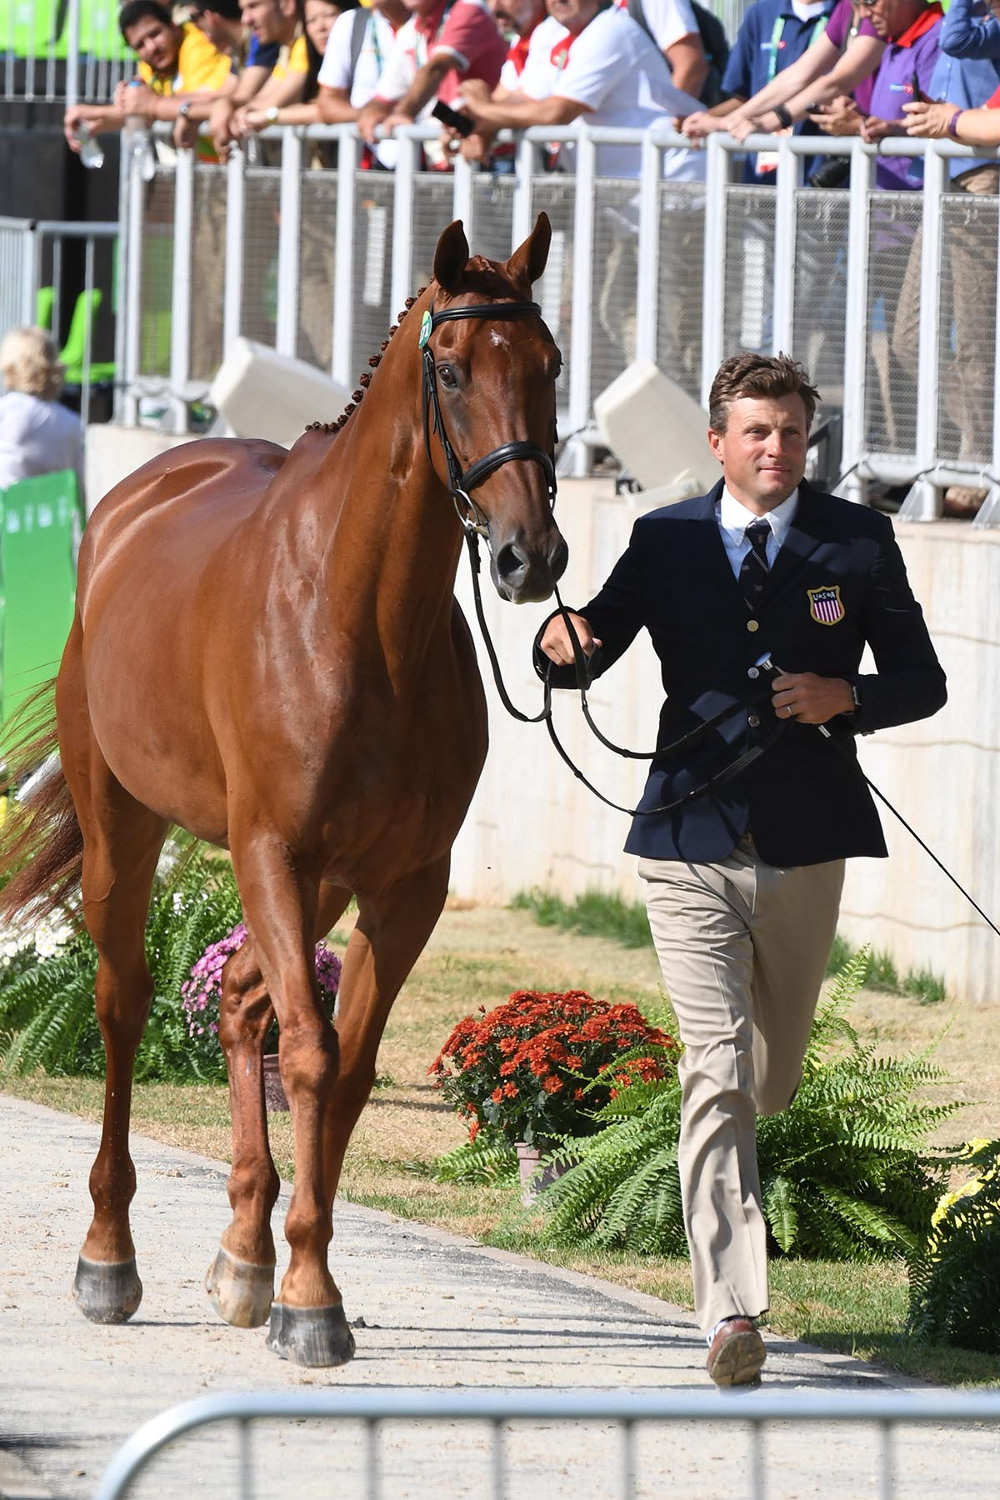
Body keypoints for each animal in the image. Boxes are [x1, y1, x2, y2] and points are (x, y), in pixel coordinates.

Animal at [0, 217, 566, 1368]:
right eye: (450, 369)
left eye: (552, 366)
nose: (529, 559)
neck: (360, 619)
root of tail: (128, 504)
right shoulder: (273, 851)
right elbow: (308, 1053)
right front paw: (307, 1300)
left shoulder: (404, 885)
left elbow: (342, 1069)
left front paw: (295, 1274)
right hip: (132, 833)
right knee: (125, 1004)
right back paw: (108, 1258)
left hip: (321, 887)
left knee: (241, 1003)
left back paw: (241, 1254)